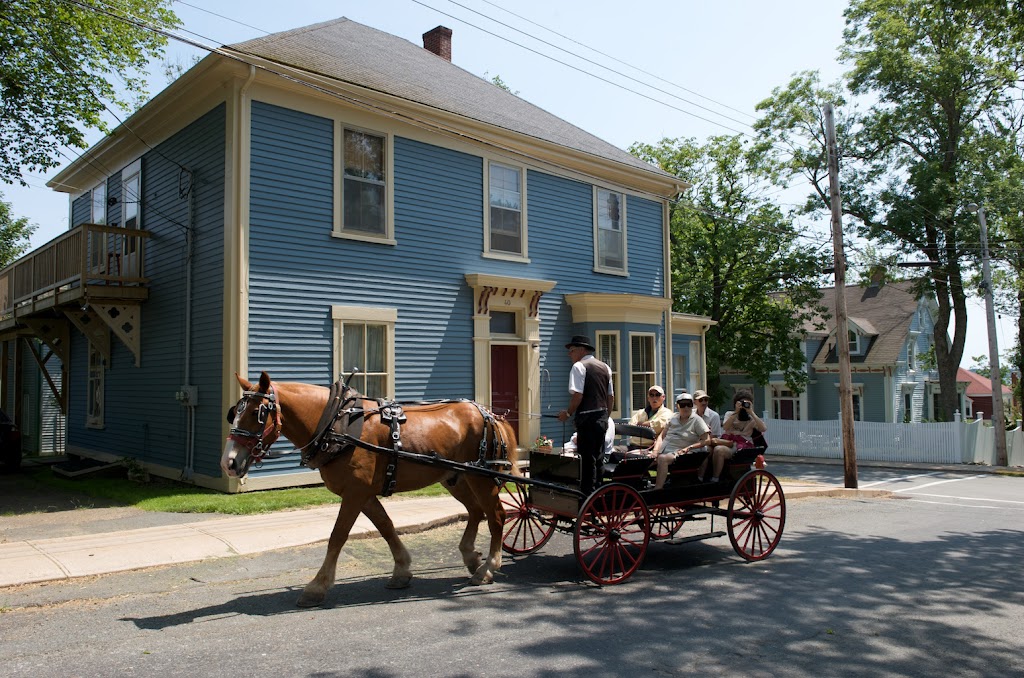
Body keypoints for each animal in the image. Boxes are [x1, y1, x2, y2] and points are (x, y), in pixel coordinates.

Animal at [220, 374, 516, 606]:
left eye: (257, 414)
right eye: (235, 412)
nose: (229, 462)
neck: (335, 424)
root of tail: (488, 414)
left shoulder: (355, 492)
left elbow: (337, 536)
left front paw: (317, 586)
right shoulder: (364, 493)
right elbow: (386, 526)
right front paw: (401, 570)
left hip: (481, 477)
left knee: (497, 516)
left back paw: (488, 567)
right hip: (456, 477)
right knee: (476, 511)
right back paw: (471, 556)